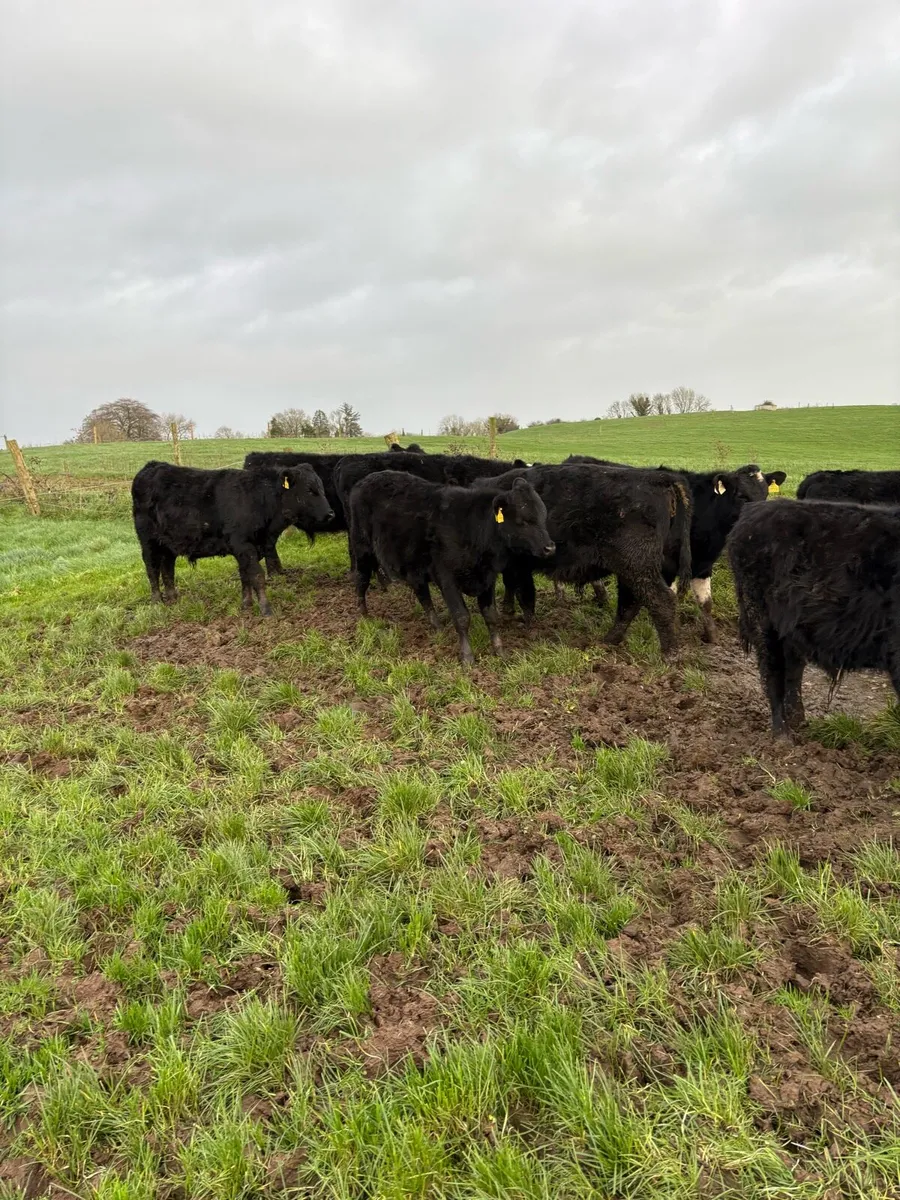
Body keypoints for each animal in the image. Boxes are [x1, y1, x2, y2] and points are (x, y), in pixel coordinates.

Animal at [132, 461, 333, 616]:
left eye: (322, 488)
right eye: (309, 490)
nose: (330, 514)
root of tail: (152, 466)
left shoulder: (247, 548)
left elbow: (245, 575)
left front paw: (247, 604)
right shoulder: (243, 544)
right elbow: (257, 575)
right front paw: (266, 609)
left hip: (169, 544)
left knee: (167, 568)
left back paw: (173, 598)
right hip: (148, 542)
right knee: (152, 569)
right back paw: (157, 601)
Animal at [349, 470, 555, 663]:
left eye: (543, 516)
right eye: (522, 521)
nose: (550, 547)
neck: (472, 528)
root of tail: (364, 481)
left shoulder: (487, 578)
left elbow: (490, 616)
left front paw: (499, 651)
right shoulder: (447, 578)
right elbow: (461, 617)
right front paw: (467, 656)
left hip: (413, 564)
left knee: (422, 593)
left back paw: (437, 626)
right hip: (362, 548)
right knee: (361, 579)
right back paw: (364, 614)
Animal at [478, 464, 693, 656]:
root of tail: (660, 478)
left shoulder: (519, 566)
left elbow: (525, 596)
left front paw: (530, 631)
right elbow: (515, 589)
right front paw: (509, 613)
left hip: (637, 566)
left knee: (661, 600)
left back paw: (669, 654)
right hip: (633, 570)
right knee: (630, 602)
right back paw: (609, 640)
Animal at [564, 456, 786, 641]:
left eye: (765, 494)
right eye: (741, 496)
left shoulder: (703, 564)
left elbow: (706, 603)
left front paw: (711, 636)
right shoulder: (666, 566)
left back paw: (602, 598)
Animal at [728, 498, 900, 735]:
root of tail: (753, 510)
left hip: (789, 628)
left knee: (792, 669)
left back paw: (798, 722)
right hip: (759, 614)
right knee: (772, 671)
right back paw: (782, 736)